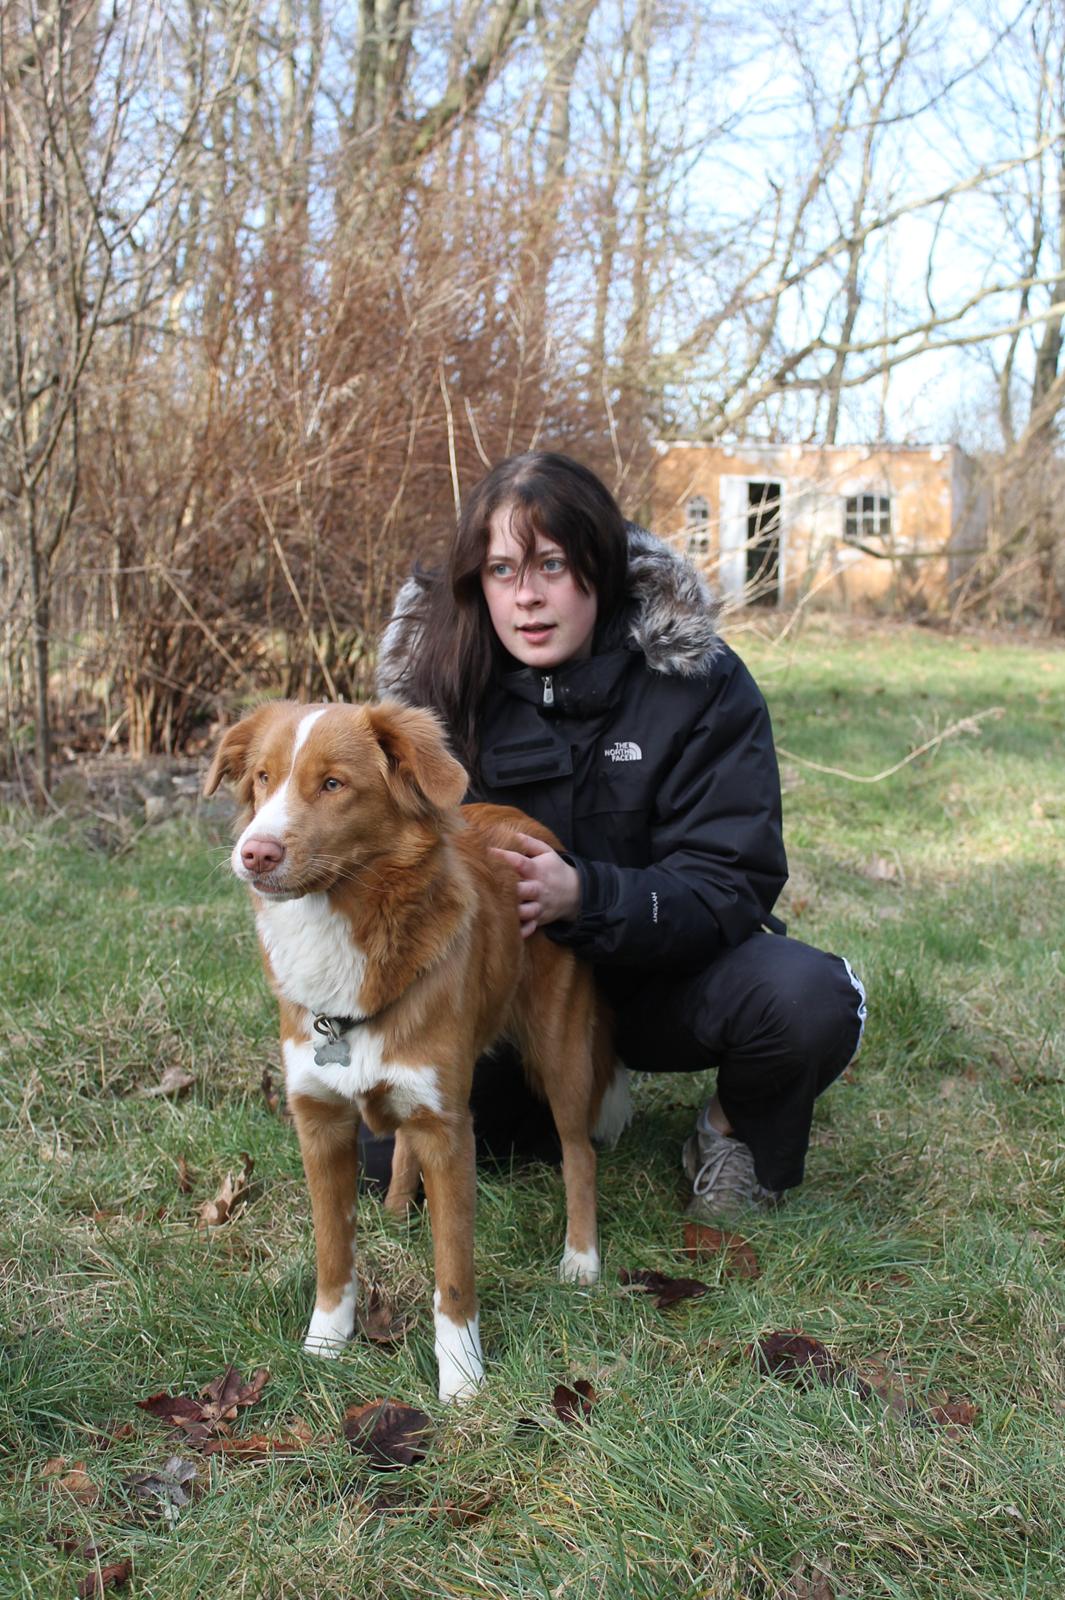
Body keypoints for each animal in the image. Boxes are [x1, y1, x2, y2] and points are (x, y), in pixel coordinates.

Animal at [203, 700, 626, 1401]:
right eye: (262, 778)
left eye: (333, 784)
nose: (254, 853)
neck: (343, 927)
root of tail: (529, 825)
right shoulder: (319, 1121)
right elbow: (333, 1252)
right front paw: (325, 1345)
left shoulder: (448, 1129)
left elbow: (453, 1269)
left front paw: (461, 1379)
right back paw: (399, 1211)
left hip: (560, 1054)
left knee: (578, 1153)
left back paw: (580, 1259)